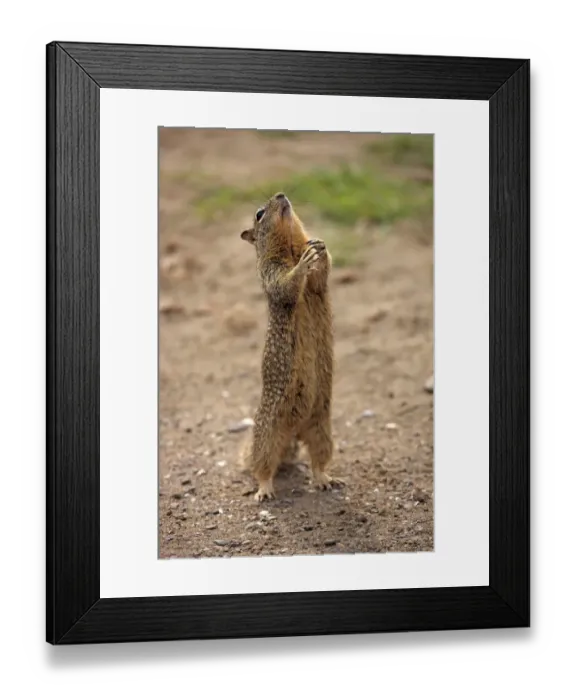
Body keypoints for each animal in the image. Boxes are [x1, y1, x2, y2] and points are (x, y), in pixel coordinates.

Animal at [239, 192, 344, 502]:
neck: (290, 247)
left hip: (321, 428)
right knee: (262, 467)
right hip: (268, 435)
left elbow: (321, 277)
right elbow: (287, 284)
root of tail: (294, 431)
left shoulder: (317, 283)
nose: (281, 195)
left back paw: (325, 479)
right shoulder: (271, 272)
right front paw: (303, 264)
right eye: (259, 213)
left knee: (318, 460)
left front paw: (320, 247)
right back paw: (264, 490)